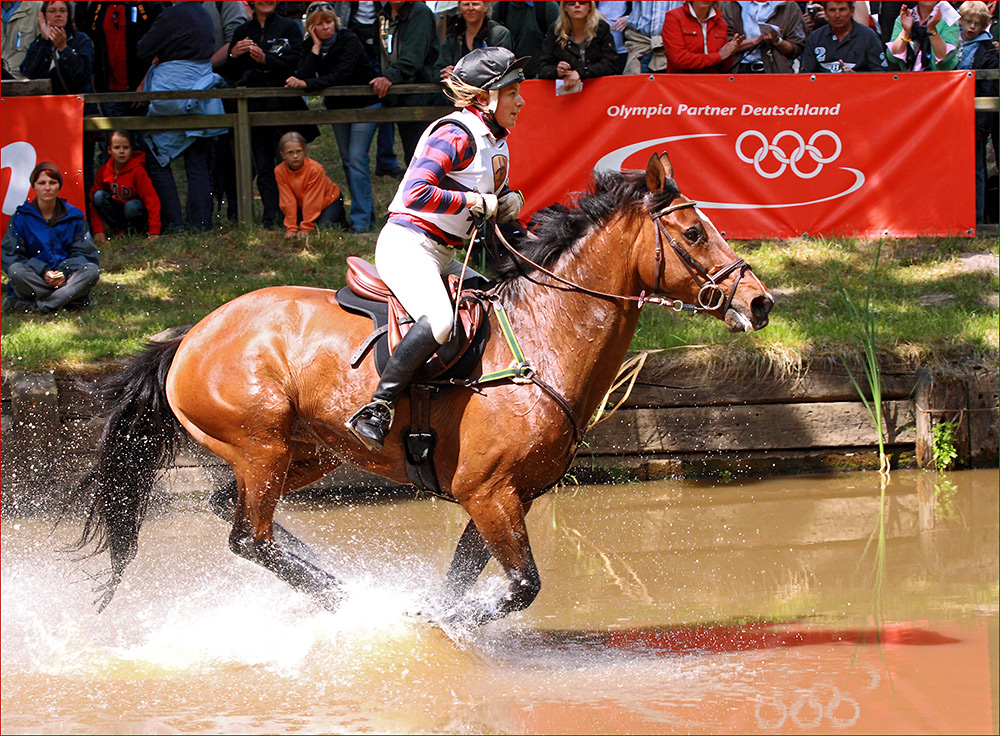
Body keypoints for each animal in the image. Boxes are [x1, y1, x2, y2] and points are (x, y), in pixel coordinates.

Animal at [72, 154, 772, 620]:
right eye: (693, 234)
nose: (760, 302)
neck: (545, 337)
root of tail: (189, 335)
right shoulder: (490, 496)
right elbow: (520, 587)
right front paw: (438, 621)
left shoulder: (505, 497)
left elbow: (470, 580)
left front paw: (440, 617)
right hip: (260, 446)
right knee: (249, 536)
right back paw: (346, 597)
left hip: (307, 451)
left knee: (236, 513)